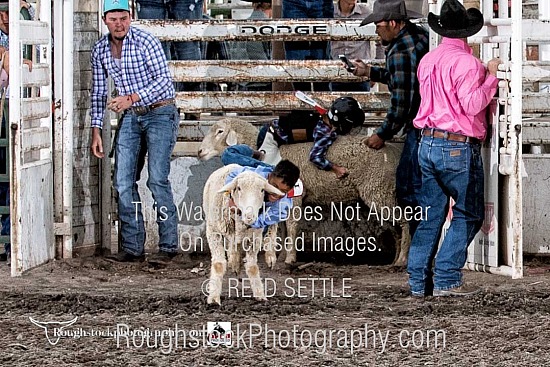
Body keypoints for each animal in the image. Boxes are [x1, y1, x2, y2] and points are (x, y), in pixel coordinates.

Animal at [201, 119, 412, 266]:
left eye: (220, 131)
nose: (200, 151)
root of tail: (394, 153)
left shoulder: (295, 197)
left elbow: (292, 226)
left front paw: (290, 258)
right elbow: (283, 228)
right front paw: (282, 255)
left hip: (379, 189)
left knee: (405, 222)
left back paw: (402, 260)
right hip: (381, 192)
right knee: (396, 227)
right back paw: (395, 259)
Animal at [205, 164, 286, 304]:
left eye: (262, 190)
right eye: (238, 188)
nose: (250, 216)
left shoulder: (255, 237)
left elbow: (252, 267)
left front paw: (260, 295)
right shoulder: (212, 231)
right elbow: (218, 264)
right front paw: (214, 298)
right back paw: (234, 262)